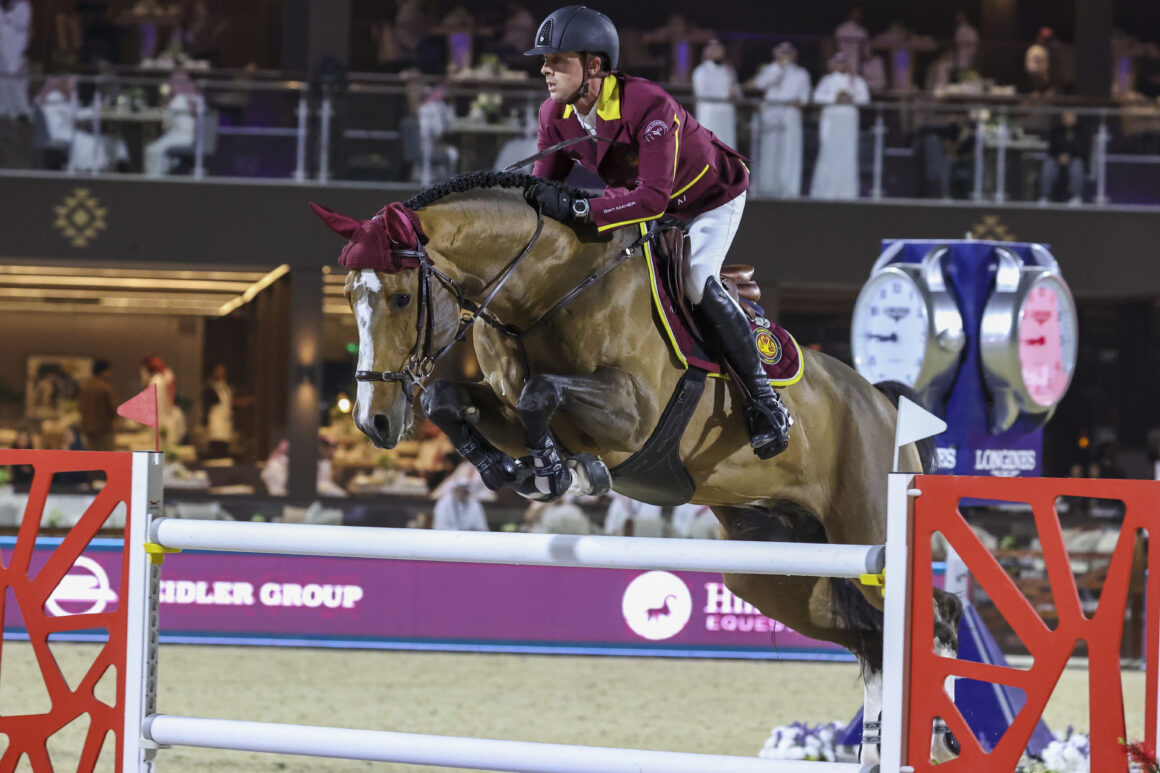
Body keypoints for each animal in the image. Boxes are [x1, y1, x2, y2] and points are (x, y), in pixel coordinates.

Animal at [313, 170, 965, 756]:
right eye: (347, 296)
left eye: (401, 297)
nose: (374, 422)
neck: (547, 289)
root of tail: (883, 402)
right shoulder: (503, 405)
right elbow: (454, 400)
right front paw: (514, 471)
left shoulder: (632, 415)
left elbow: (540, 394)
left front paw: (564, 470)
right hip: (776, 572)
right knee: (872, 637)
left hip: (867, 530)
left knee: (937, 613)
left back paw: (938, 734)